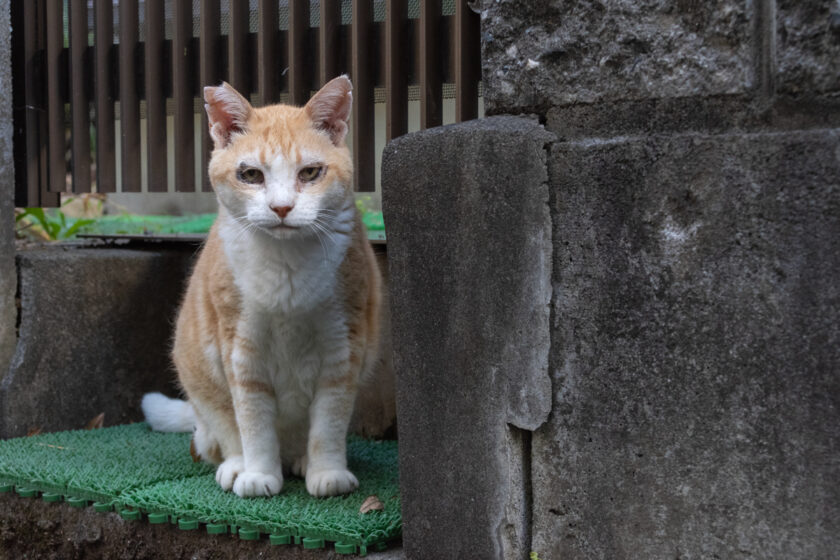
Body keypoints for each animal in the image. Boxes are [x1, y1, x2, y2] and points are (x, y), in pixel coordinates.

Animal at [141, 75, 380, 498]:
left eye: (310, 173)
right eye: (251, 175)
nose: (282, 208)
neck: (287, 269)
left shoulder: (343, 348)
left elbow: (329, 422)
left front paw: (328, 472)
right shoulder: (241, 349)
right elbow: (252, 423)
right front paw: (258, 474)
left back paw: (301, 460)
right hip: (201, 380)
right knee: (223, 433)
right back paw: (237, 466)